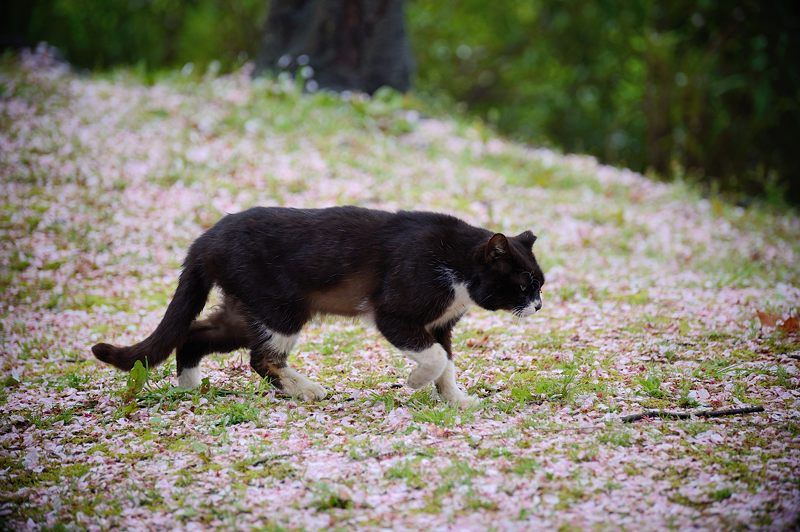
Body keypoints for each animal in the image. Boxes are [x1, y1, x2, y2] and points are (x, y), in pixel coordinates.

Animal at [92, 205, 544, 408]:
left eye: (540, 284)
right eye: (524, 284)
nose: (538, 305)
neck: (458, 269)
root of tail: (205, 240)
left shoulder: (440, 324)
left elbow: (446, 360)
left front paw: (456, 400)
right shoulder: (396, 314)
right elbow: (433, 357)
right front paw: (415, 382)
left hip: (246, 308)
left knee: (194, 335)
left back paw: (189, 388)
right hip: (282, 306)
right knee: (262, 358)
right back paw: (307, 389)